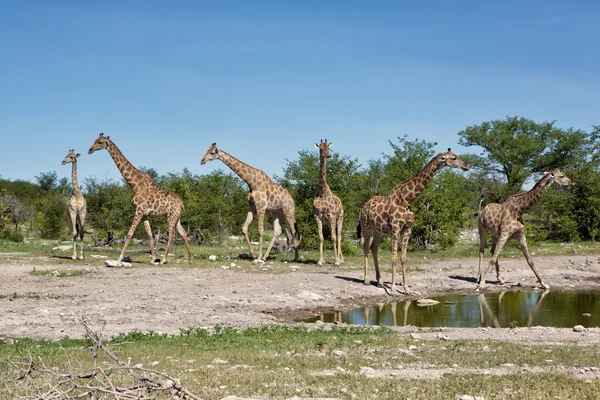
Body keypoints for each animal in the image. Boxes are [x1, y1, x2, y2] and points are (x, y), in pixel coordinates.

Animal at [87, 134, 192, 266]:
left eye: (100, 142)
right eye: (94, 140)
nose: (90, 150)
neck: (135, 185)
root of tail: (181, 203)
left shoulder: (138, 211)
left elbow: (129, 234)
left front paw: (119, 258)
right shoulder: (144, 214)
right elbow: (150, 236)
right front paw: (153, 258)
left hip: (171, 216)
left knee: (172, 235)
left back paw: (164, 259)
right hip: (177, 217)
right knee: (183, 233)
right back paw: (190, 258)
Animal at [356, 148, 468, 296]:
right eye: (454, 158)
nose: (466, 166)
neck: (407, 199)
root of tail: (363, 206)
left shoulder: (408, 229)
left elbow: (403, 258)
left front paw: (406, 289)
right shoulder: (396, 229)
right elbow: (394, 258)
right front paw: (393, 289)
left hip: (378, 230)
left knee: (374, 248)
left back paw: (380, 282)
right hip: (366, 226)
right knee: (365, 248)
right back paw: (367, 280)